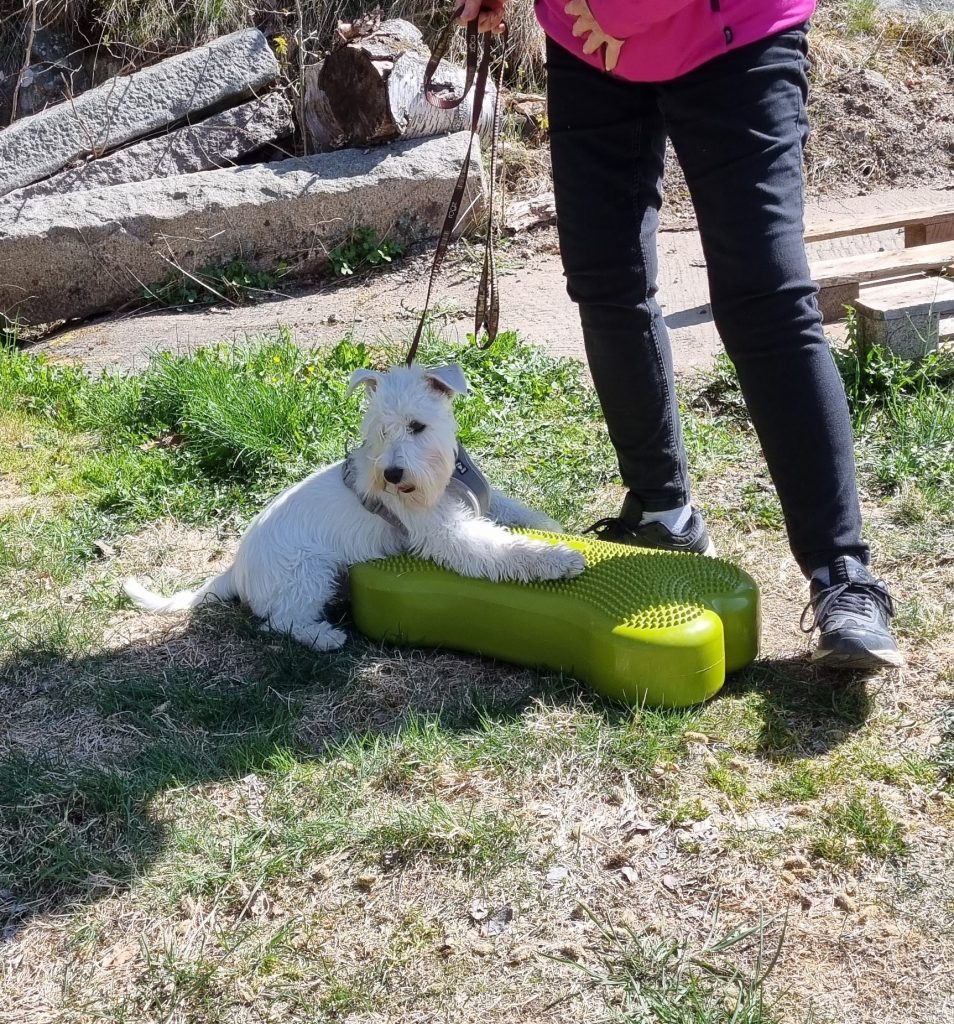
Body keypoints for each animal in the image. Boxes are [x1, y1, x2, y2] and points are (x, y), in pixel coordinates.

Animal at [124, 362, 589, 647]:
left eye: (416, 426)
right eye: (380, 430)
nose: (393, 476)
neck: (445, 478)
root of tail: (235, 570)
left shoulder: (482, 508)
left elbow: (521, 515)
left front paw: (559, 533)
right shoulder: (450, 534)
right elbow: (505, 549)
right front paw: (559, 560)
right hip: (310, 570)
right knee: (280, 621)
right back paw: (325, 637)